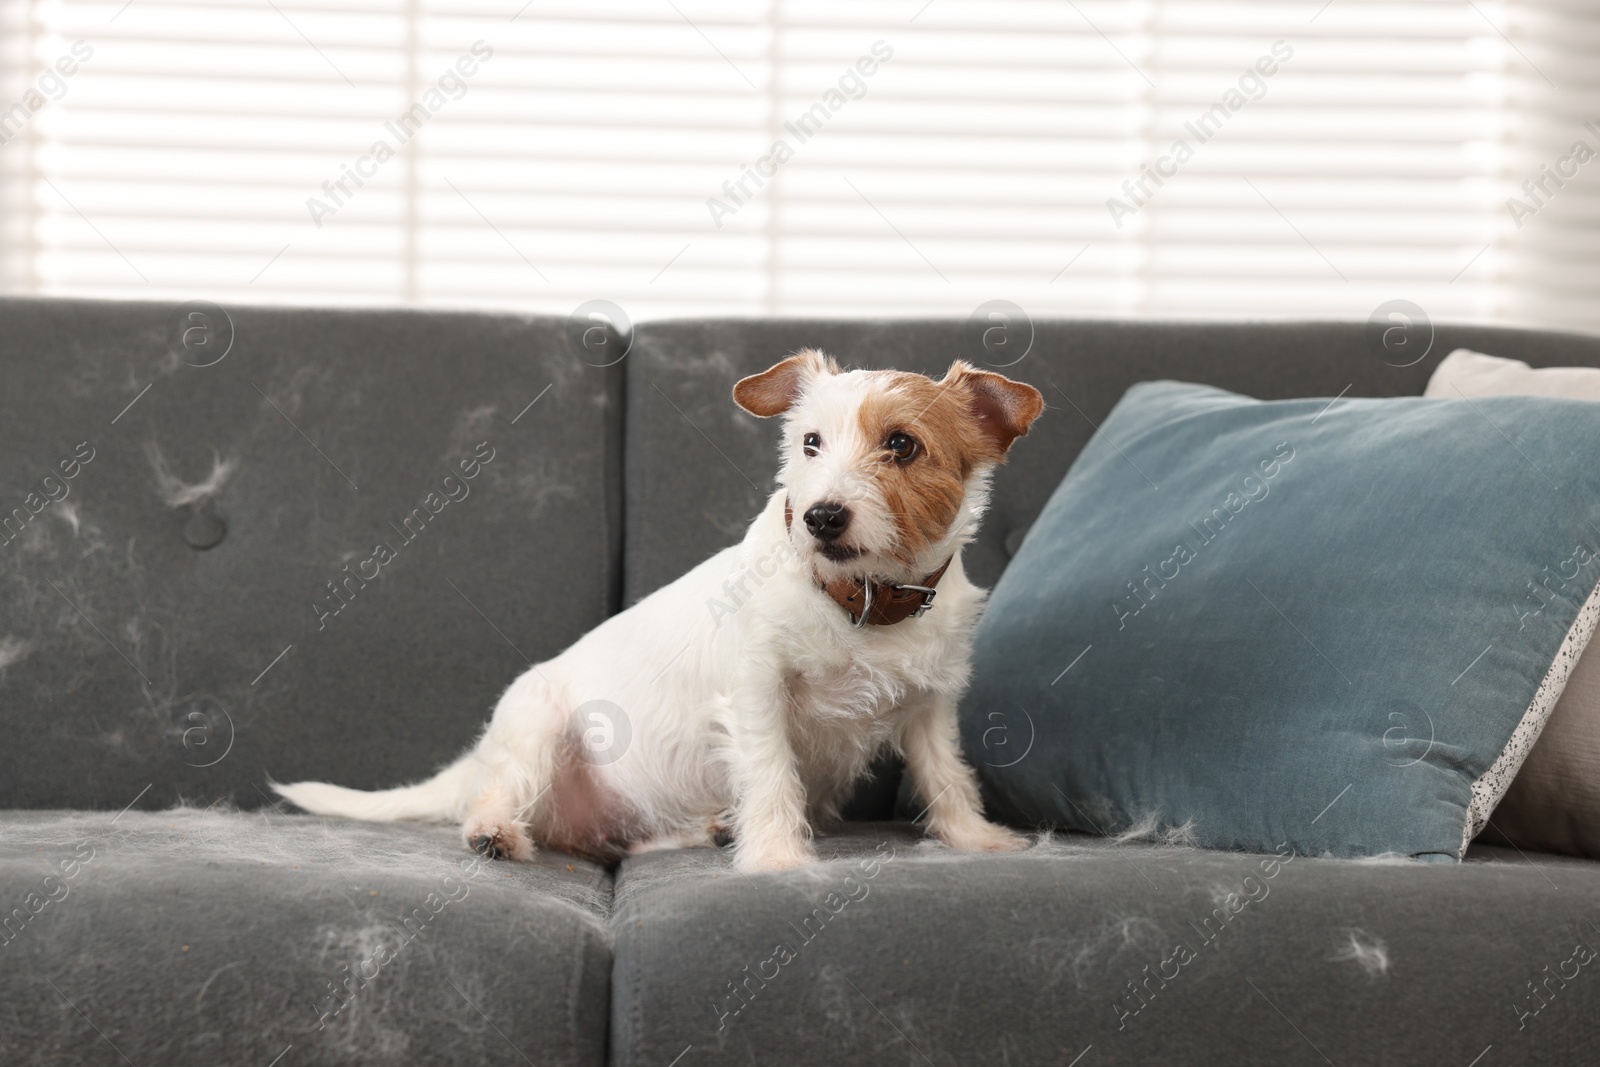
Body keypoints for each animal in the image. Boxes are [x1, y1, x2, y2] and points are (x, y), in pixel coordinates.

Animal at [275, 351, 1049, 876]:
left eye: (902, 445)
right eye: (810, 443)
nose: (823, 517)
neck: (860, 599)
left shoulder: (930, 705)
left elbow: (946, 775)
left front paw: (976, 839)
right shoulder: (757, 691)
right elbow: (771, 772)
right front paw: (777, 859)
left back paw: (706, 829)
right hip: (534, 726)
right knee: (494, 795)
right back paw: (495, 832)